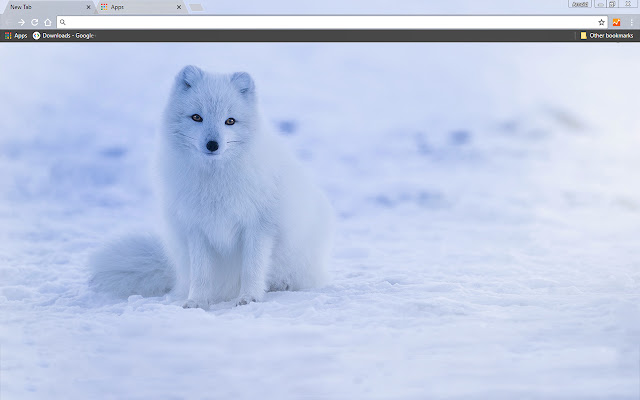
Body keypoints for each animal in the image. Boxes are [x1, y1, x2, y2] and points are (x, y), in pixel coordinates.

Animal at [89, 66, 334, 309]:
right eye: (197, 117)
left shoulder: (259, 226)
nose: (213, 145)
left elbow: (252, 268)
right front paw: (196, 301)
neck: (214, 182)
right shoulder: (196, 228)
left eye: (230, 121)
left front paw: (249, 297)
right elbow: (201, 274)